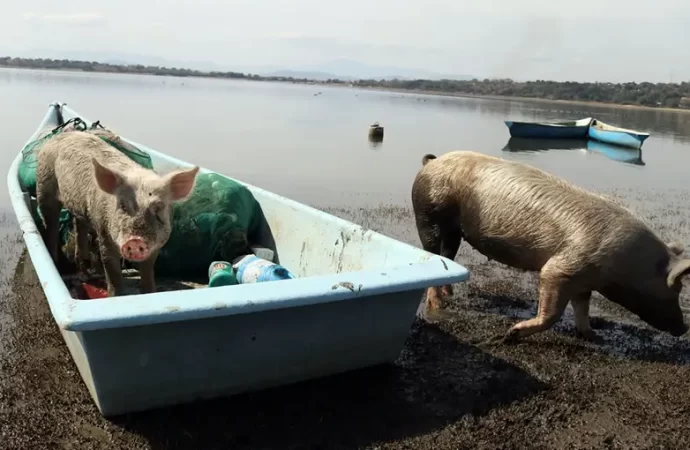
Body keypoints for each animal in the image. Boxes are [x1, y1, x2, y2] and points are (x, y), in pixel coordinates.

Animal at [35, 130, 198, 296]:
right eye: (123, 206)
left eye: (158, 208)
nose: (135, 240)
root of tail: (62, 135)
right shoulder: (104, 230)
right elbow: (111, 268)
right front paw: (116, 296)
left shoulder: (157, 244)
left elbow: (148, 269)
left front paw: (150, 292)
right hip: (43, 184)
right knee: (50, 224)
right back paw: (55, 262)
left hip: (78, 206)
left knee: (78, 224)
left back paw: (84, 271)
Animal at [412, 150, 684, 342]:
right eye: (676, 290)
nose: (684, 327)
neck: (625, 265)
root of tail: (431, 163)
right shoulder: (563, 268)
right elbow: (552, 311)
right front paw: (511, 335)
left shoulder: (585, 279)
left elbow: (582, 308)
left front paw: (593, 337)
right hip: (428, 213)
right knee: (431, 251)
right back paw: (438, 304)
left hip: (454, 230)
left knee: (448, 255)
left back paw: (449, 293)